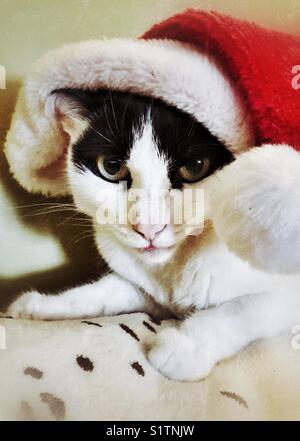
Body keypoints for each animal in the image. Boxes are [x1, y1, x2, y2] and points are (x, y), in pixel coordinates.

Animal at [5, 90, 300, 382]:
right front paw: (43, 305)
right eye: (111, 167)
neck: (171, 268)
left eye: (195, 167)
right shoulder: (149, 294)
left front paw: (185, 347)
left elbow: (243, 308)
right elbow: (106, 292)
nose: (148, 228)